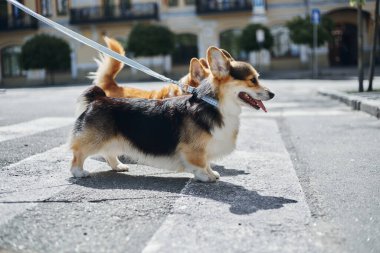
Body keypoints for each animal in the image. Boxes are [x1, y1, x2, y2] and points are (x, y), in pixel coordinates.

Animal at [70, 47, 274, 182]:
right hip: (94, 140)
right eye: (252, 80)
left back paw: (118, 166)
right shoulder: (194, 149)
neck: (216, 104)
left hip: (112, 139)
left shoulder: (205, 147)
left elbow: (207, 162)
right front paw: (205, 176)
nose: (272, 94)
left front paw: (211, 173)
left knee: (109, 153)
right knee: (79, 153)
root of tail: (98, 98)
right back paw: (79, 172)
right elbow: (200, 163)